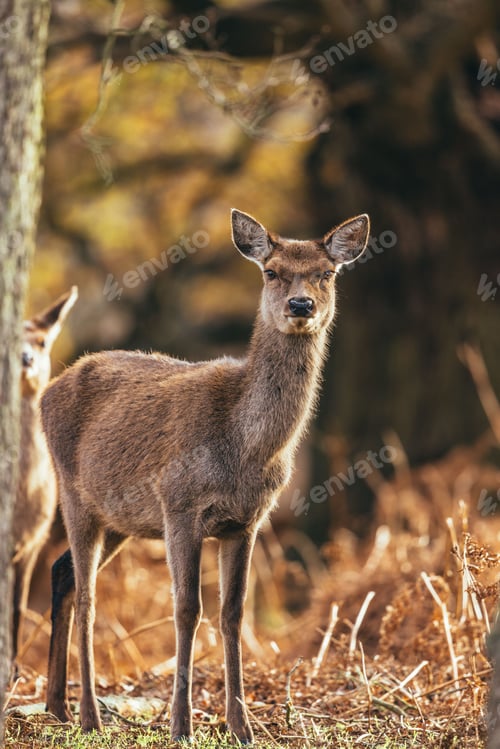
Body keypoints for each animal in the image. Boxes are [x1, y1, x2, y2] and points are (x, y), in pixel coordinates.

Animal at [41, 209, 370, 743]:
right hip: (74, 493)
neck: (245, 449)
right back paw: (89, 716)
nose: (301, 305)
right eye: (271, 271)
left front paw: (242, 727)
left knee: (63, 572)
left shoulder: (246, 522)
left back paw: (57, 708)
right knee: (89, 594)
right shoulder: (179, 504)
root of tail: (48, 389)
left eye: (327, 273)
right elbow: (186, 608)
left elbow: (233, 613)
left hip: (120, 520)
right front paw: (181, 726)